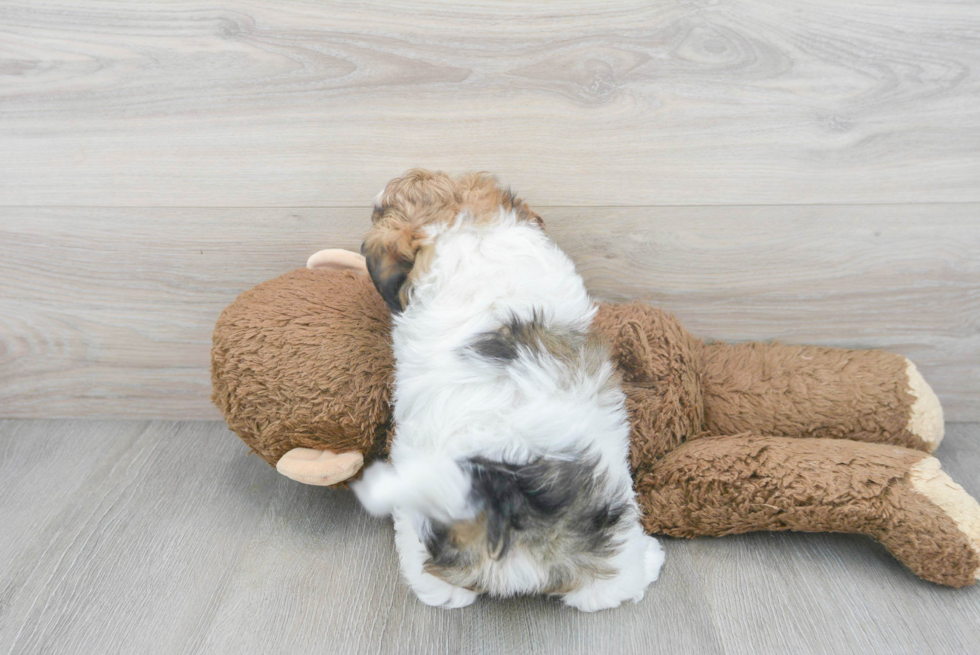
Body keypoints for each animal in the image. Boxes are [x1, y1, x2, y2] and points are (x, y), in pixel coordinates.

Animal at [352, 172, 668, 612]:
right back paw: (652, 559)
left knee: (437, 587)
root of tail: (501, 502)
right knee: (609, 588)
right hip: (606, 543)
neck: (464, 234)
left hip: (424, 541)